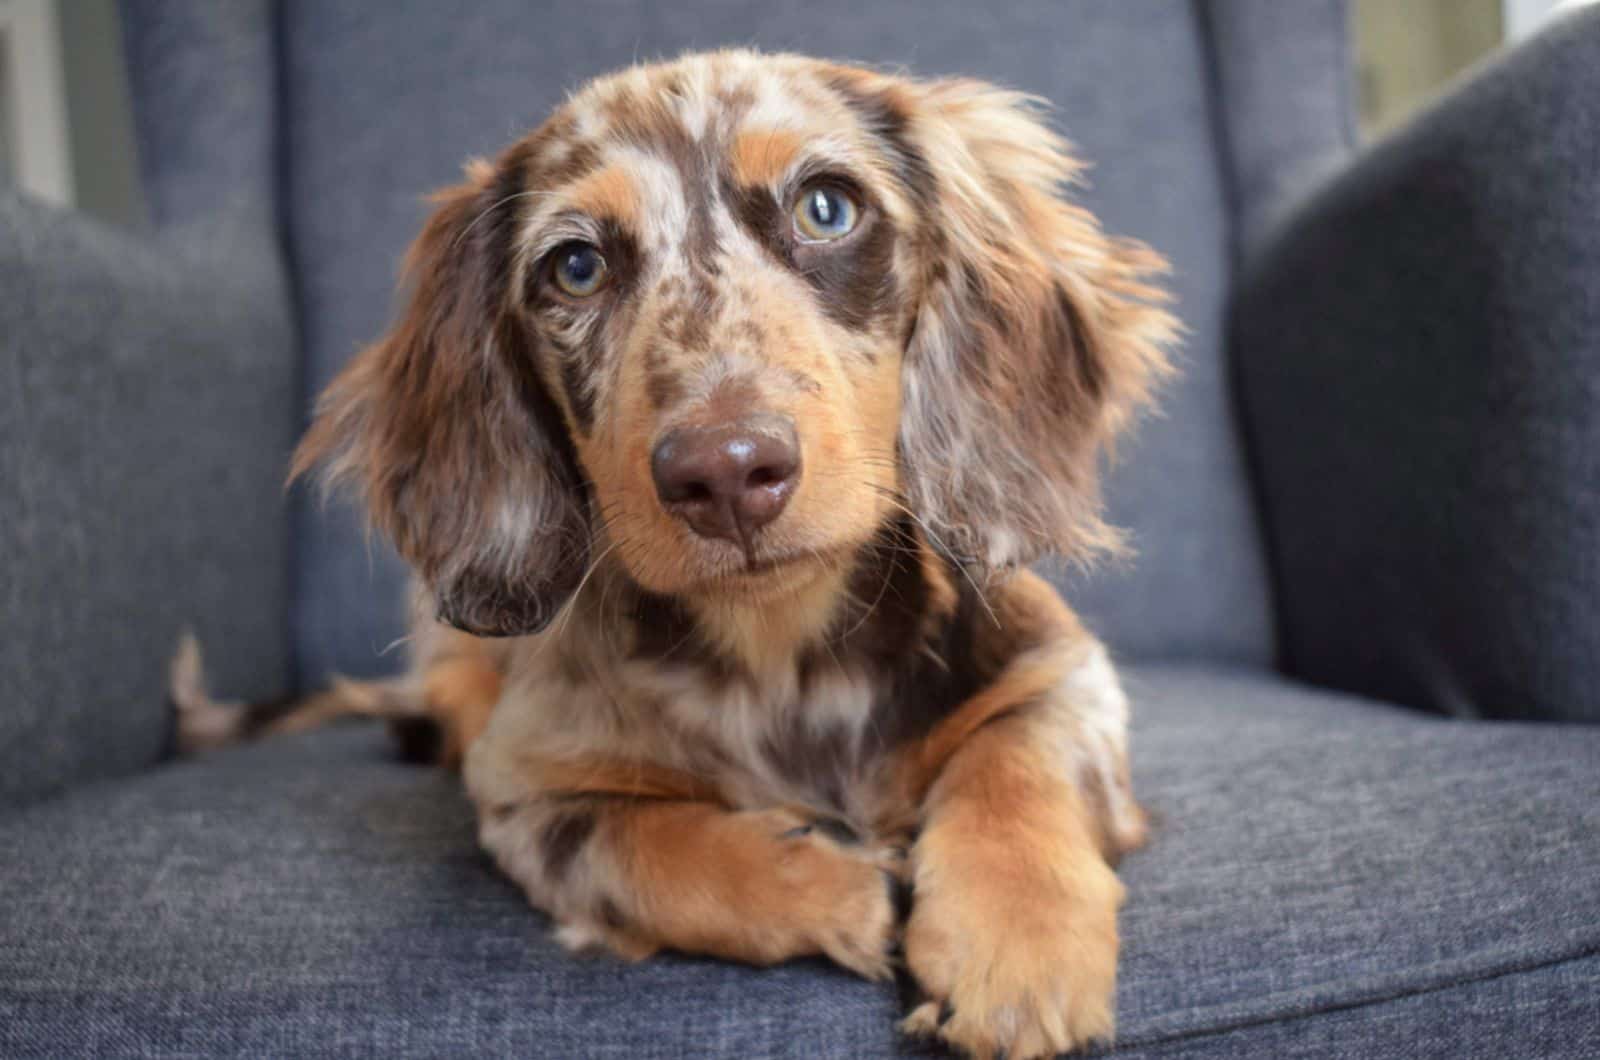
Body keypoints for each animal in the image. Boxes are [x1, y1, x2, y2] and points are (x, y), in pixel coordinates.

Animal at [181, 52, 1177, 1060]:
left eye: (827, 208)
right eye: (576, 266)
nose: (727, 473)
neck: (783, 654)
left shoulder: (1065, 668)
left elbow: (1016, 756)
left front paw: (1016, 951)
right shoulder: (527, 795)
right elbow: (658, 851)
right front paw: (842, 889)